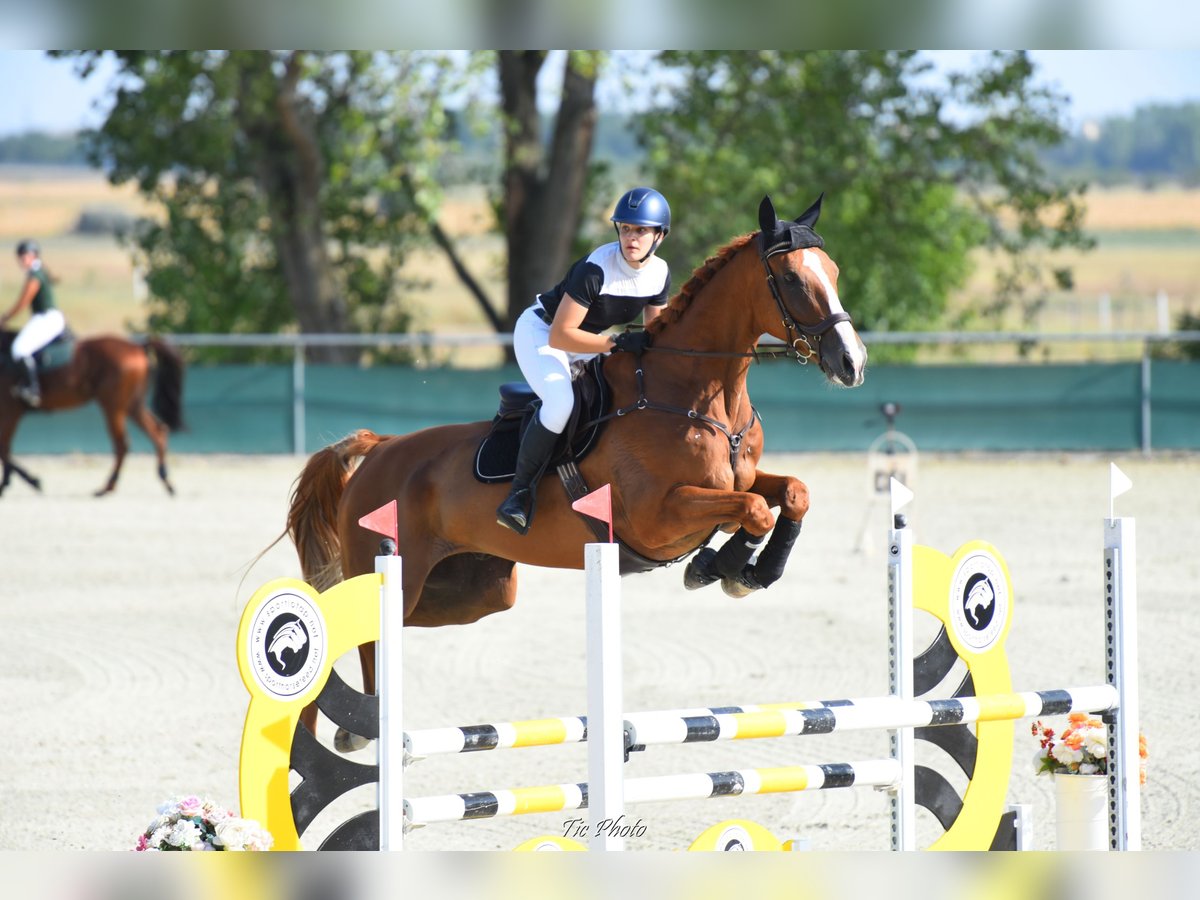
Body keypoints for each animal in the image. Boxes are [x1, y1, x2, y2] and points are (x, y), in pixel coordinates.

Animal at [0, 333, 184, 501]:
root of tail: (137, 347)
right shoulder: (11, 412)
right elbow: (5, 450)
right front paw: (15, 482)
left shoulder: (10, 410)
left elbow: (4, 449)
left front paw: (28, 481)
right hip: (132, 405)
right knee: (158, 431)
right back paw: (166, 481)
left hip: (113, 406)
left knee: (122, 444)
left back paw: (107, 487)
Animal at [288, 194, 873, 744]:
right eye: (792, 277)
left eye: (834, 271)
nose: (853, 362)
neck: (700, 396)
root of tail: (380, 451)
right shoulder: (657, 517)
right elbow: (751, 509)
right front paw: (719, 568)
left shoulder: (736, 483)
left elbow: (789, 493)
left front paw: (744, 571)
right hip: (394, 571)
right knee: (361, 633)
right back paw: (353, 726)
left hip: (475, 591)